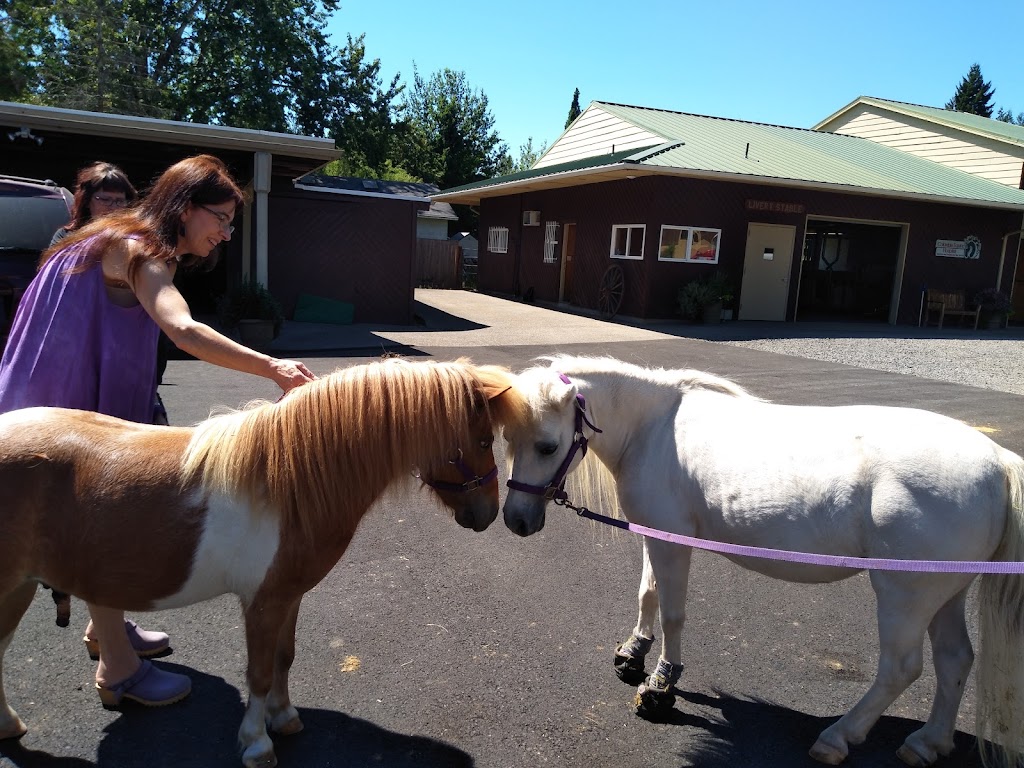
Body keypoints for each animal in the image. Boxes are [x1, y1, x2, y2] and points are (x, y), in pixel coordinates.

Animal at [0, 358, 516, 768]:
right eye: (484, 440)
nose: (489, 514)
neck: (288, 480)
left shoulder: (288, 597)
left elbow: (284, 659)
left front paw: (283, 717)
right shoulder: (262, 604)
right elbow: (260, 671)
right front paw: (256, 743)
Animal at [501, 358, 1024, 768]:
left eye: (547, 445)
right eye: (507, 439)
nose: (516, 520)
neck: (651, 428)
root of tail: (998, 461)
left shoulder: (673, 545)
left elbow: (673, 615)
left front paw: (660, 685)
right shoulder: (656, 536)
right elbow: (647, 594)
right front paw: (633, 653)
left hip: (905, 595)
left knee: (901, 668)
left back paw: (838, 737)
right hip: (945, 594)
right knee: (954, 659)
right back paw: (927, 743)